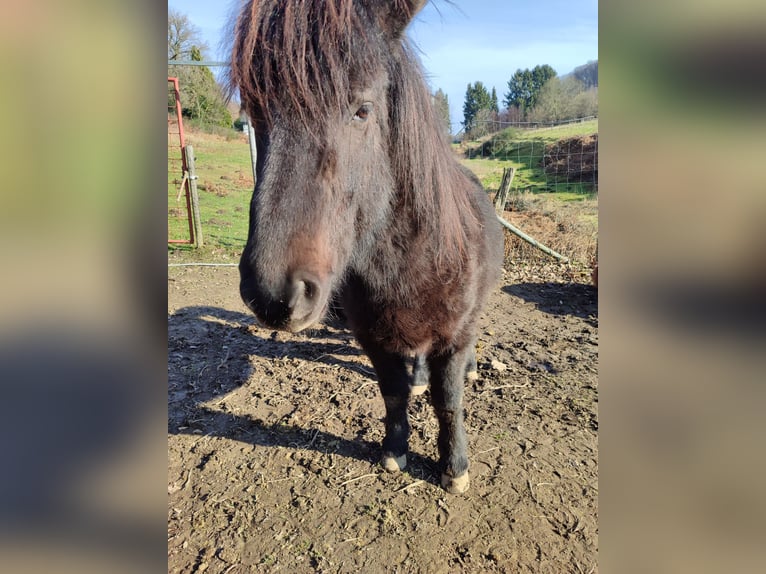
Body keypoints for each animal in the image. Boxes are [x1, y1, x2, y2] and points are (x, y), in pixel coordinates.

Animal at [229, 0, 504, 494]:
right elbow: (393, 393)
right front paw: (394, 451)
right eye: (255, 113)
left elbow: (449, 399)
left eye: (363, 110)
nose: (275, 295)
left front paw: (455, 467)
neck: (411, 257)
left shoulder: (453, 336)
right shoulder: (373, 336)